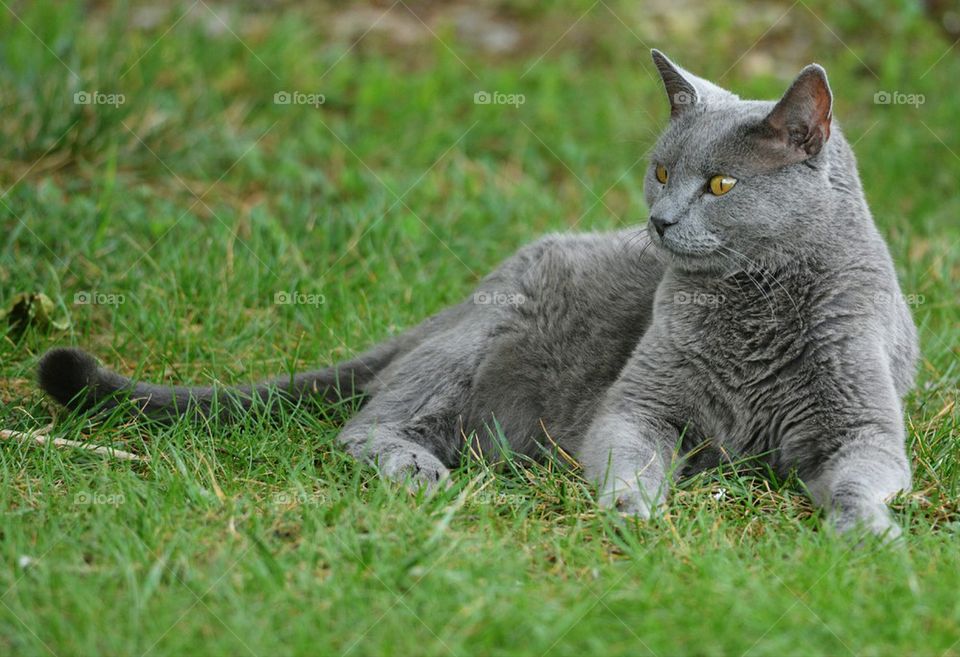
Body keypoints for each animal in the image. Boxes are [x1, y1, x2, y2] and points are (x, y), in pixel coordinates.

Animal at [37, 51, 920, 540]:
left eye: (723, 184)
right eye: (663, 170)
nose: (659, 219)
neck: (751, 309)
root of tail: (477, 287)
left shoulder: (863, 422)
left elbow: (863, 477)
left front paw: (870, 535)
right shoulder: (636, 405)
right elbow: (628, 458)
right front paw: (634, 512)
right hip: (480, 342)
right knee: (365, 423)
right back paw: (419, 471)